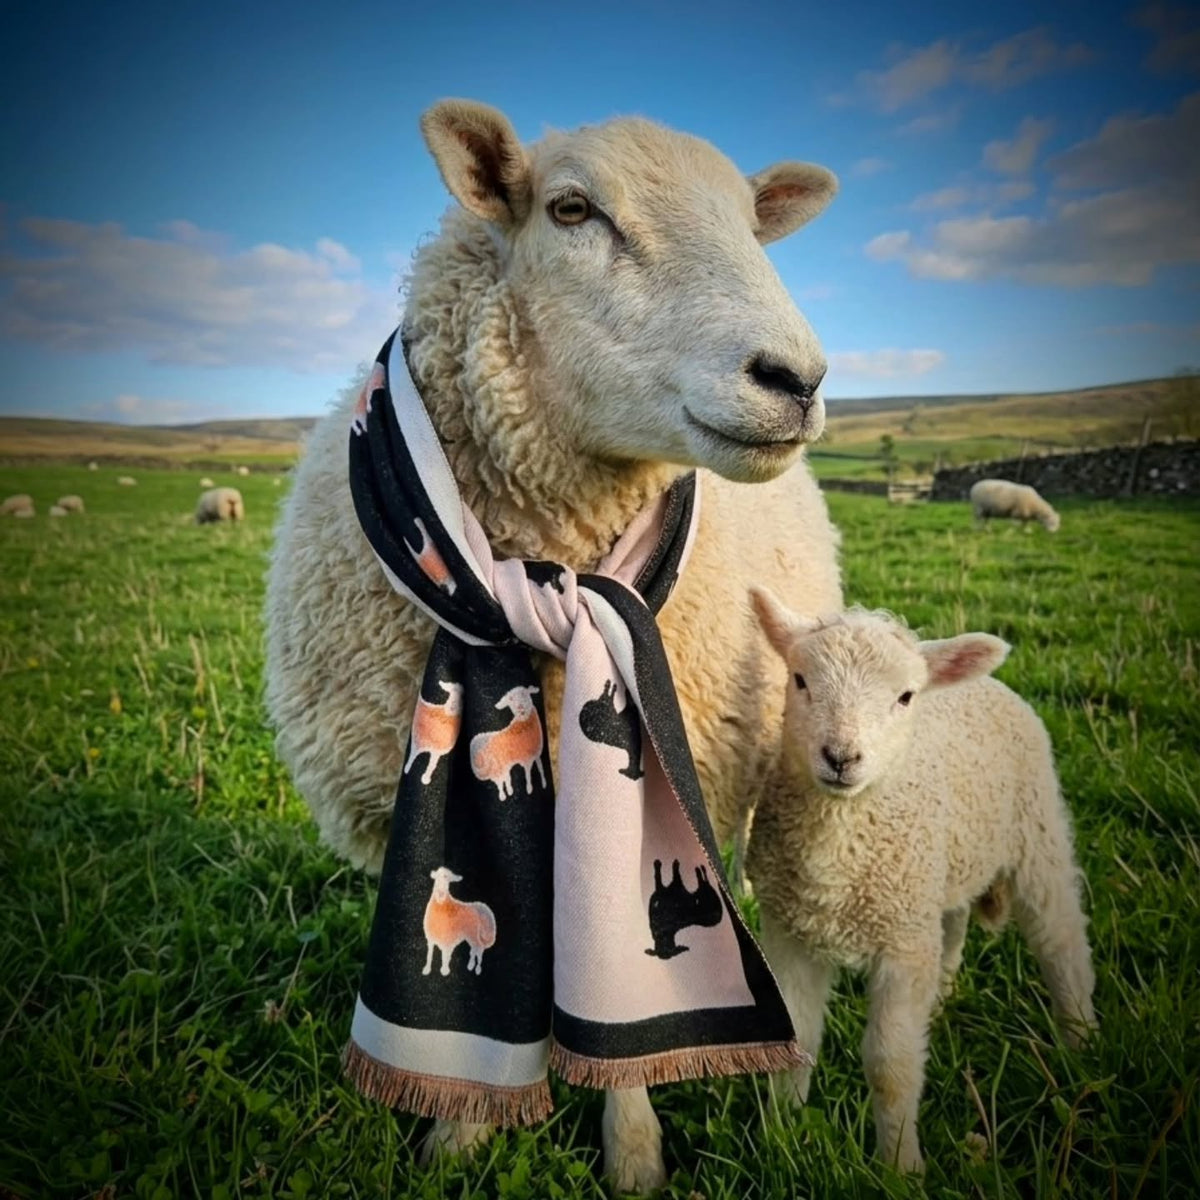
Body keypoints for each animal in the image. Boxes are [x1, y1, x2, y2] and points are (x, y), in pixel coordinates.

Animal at [746, 588, 1097, 1174]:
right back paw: (944, 998)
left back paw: (1079, 1042)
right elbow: (798, 1037)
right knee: (954, 926)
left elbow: (891, 1066)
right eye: (799, 680)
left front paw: (899, 1167)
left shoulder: (903, 942)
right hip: (943, 869)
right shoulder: (790, 931)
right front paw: (782, 1138)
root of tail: (986, 683)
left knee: (1060, 939)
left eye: (906, 697)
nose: (841, 757)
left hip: (1036, 831)